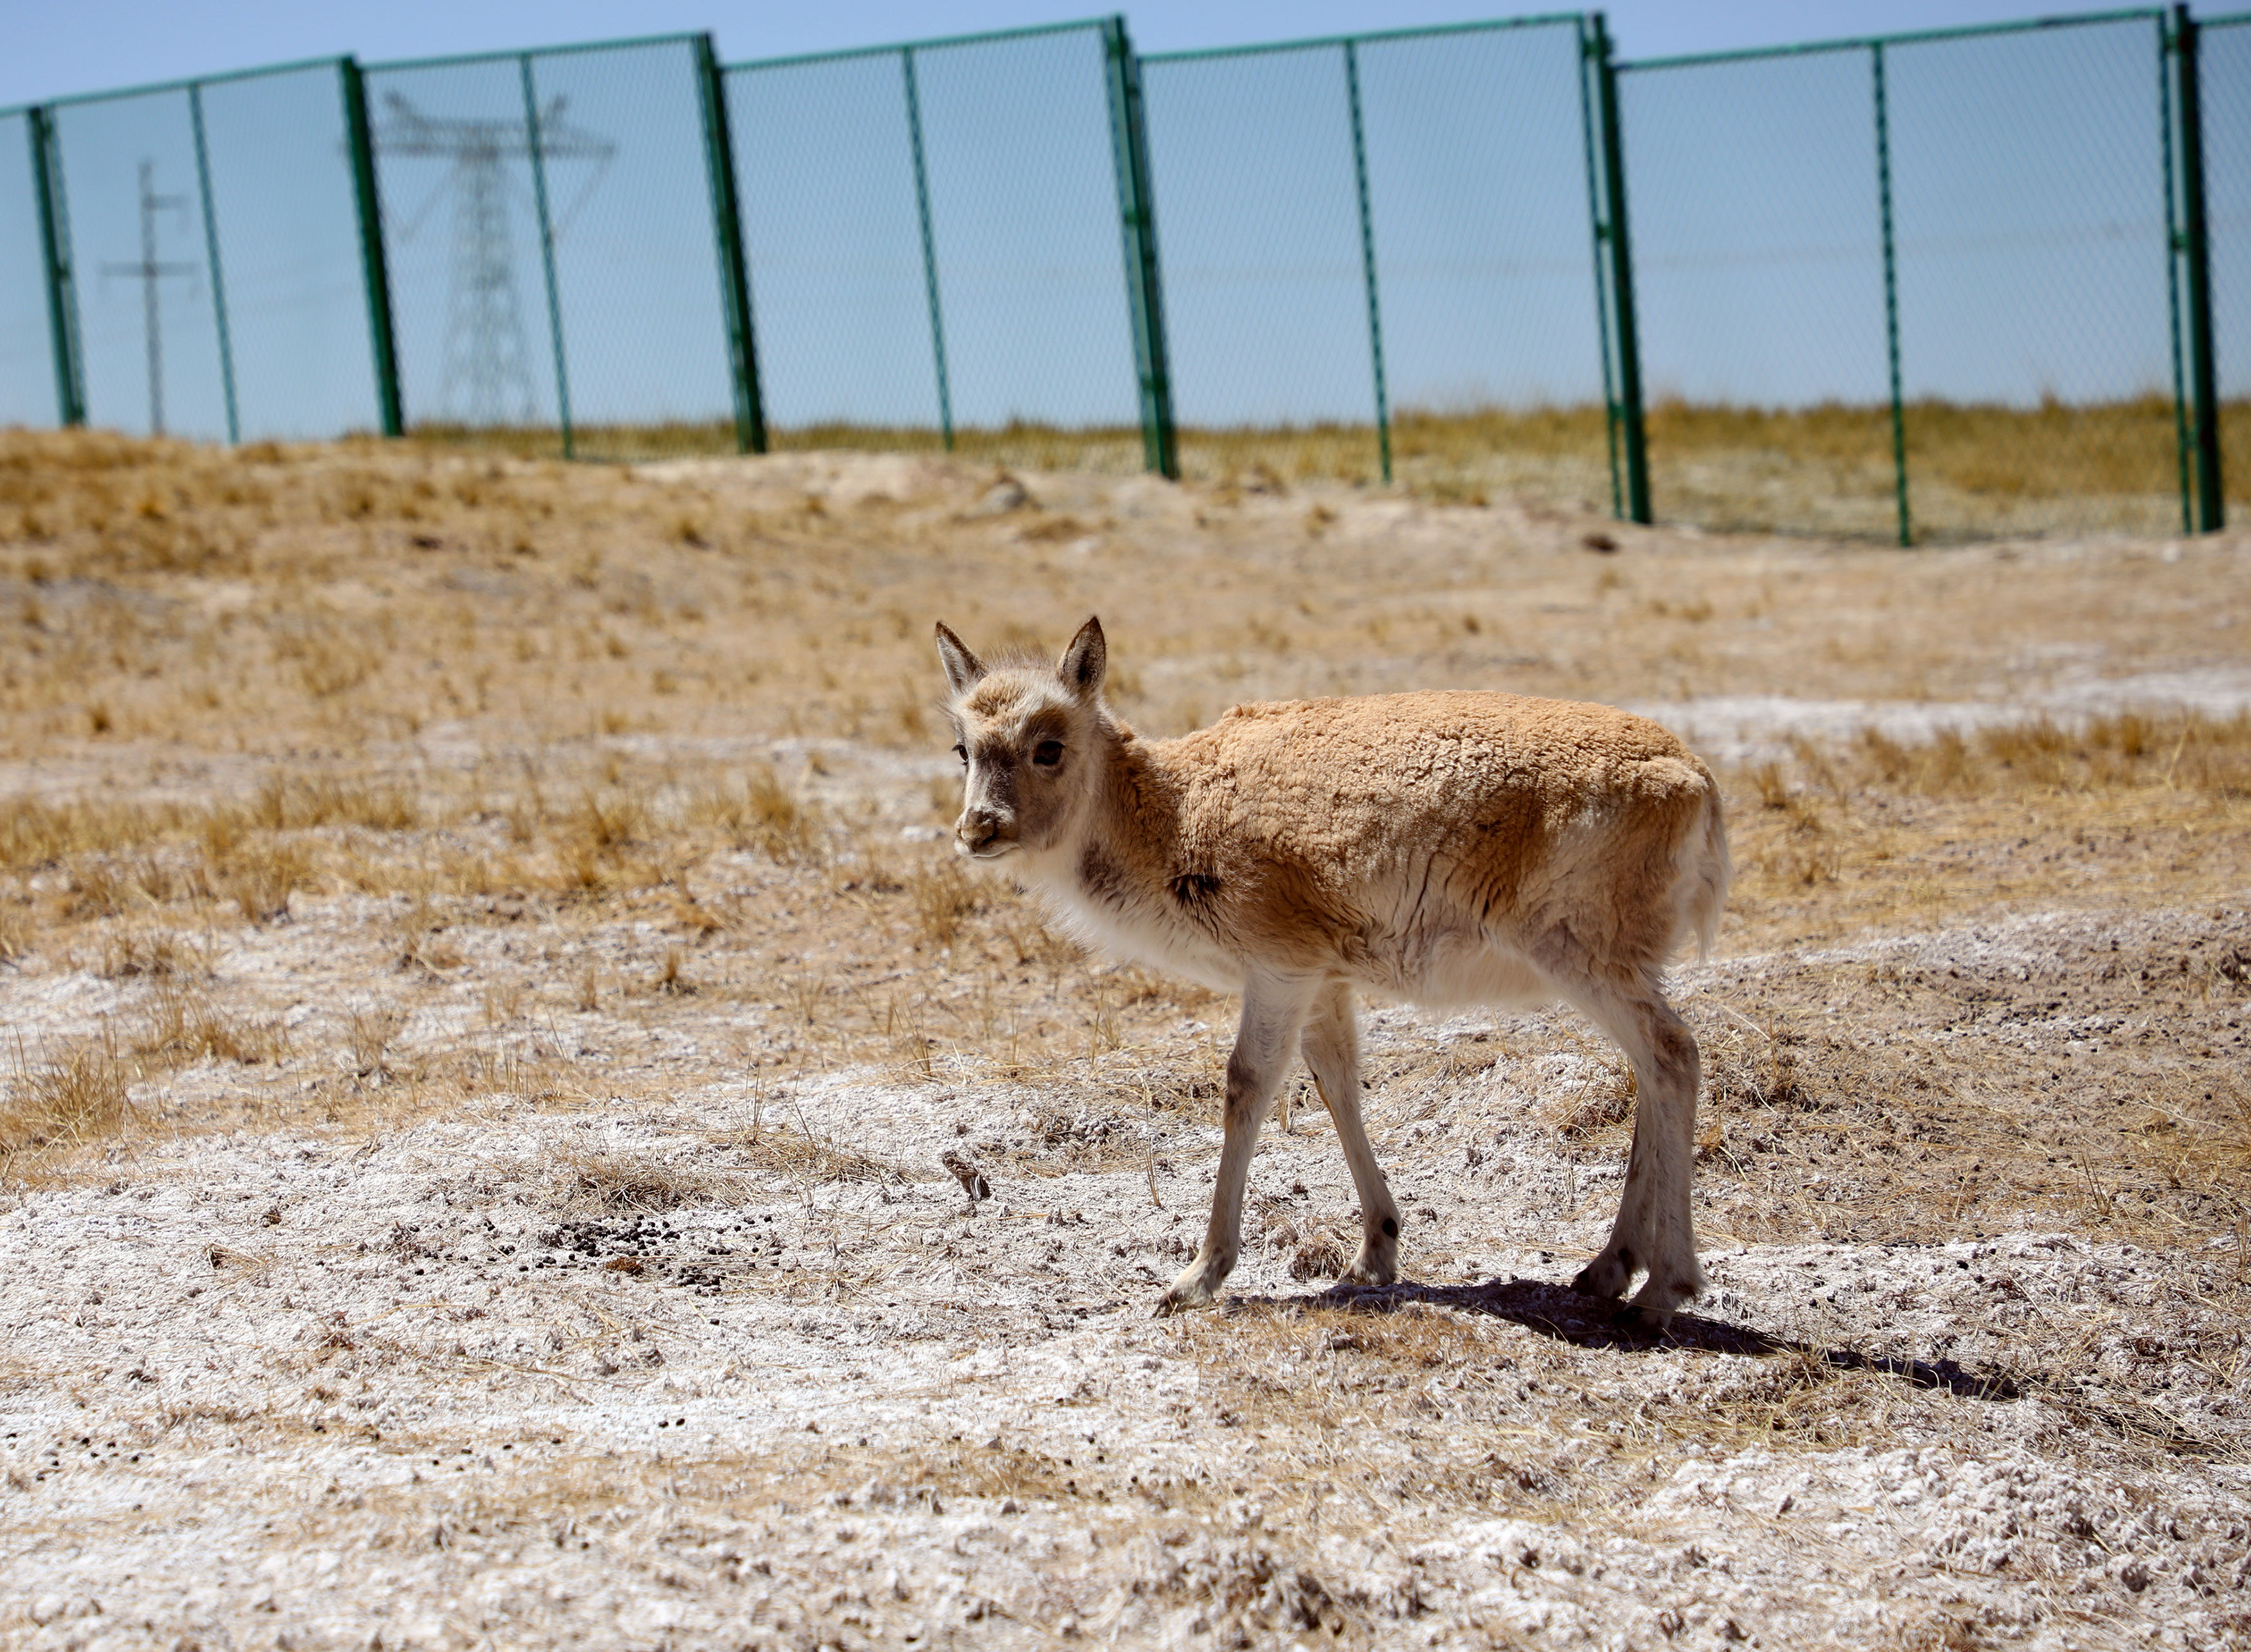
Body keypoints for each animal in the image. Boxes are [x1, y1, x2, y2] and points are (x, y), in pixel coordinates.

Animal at [932, 621, 1720, 1332]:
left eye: (1049, 746)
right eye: (962, 747)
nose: (977, 830)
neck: (1172, 810)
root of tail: (1697, 778)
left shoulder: (1279, 967)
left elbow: (1246, 1085)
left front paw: (1196, 1276)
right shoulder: (1324, 980)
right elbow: (1337, 1080)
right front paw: (1375, 1251)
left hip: (1583, 958)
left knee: (1673, 1054)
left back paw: (1664, 1288)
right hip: (1617, 966)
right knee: (1650, 1067)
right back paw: (1607, 1267)